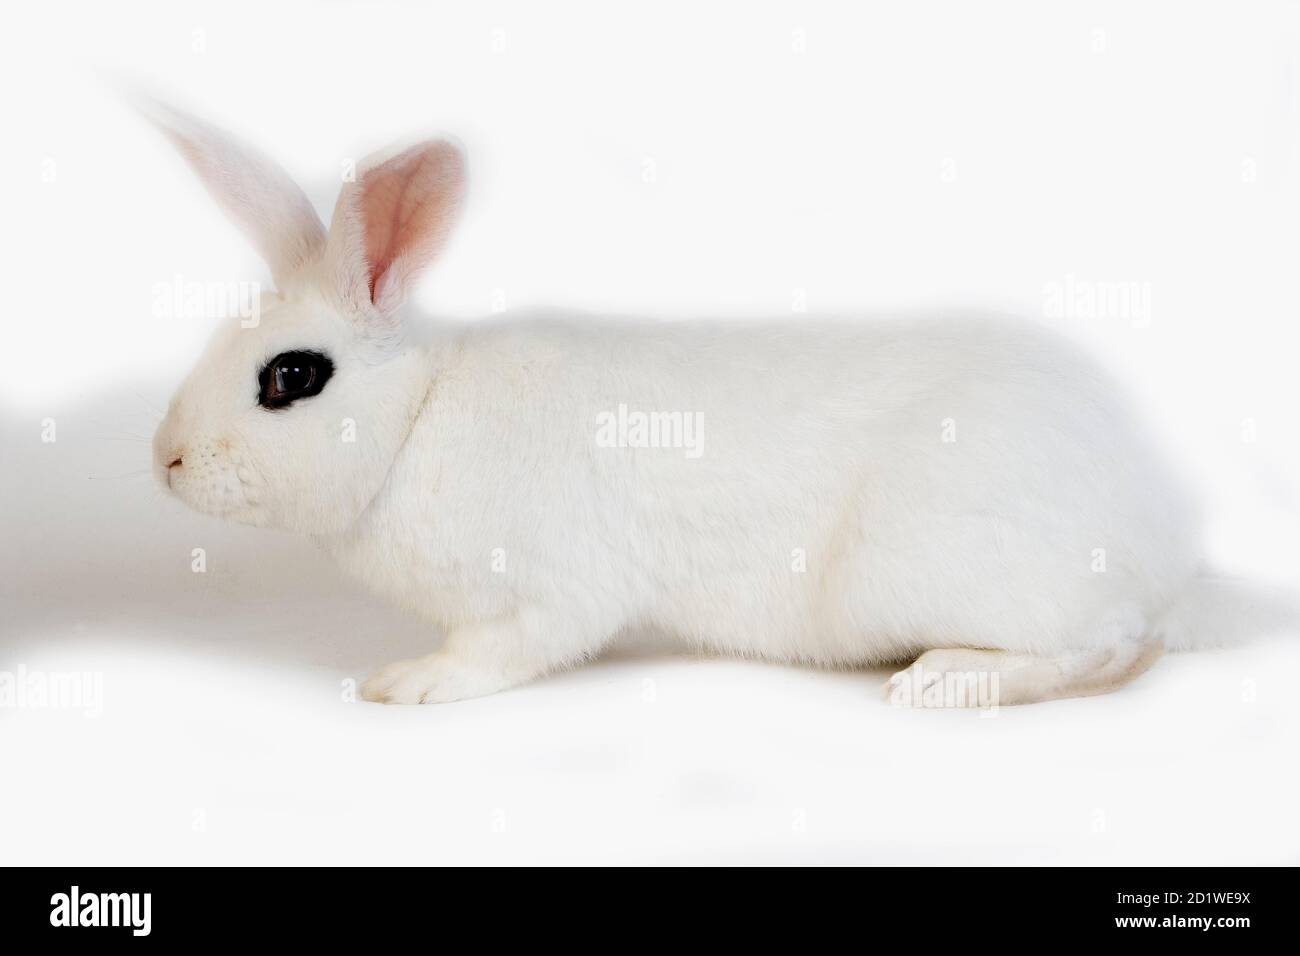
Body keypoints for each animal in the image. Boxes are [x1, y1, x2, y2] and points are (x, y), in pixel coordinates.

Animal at [147, 100, 1284, 707]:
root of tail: (1161, 551)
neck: (418, 413)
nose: (164, 460)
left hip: (936, 568)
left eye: (291, 377)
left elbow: (502, 651)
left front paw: (406, 682)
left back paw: (943, 680)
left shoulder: (548, 593)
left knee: (1110, 644)